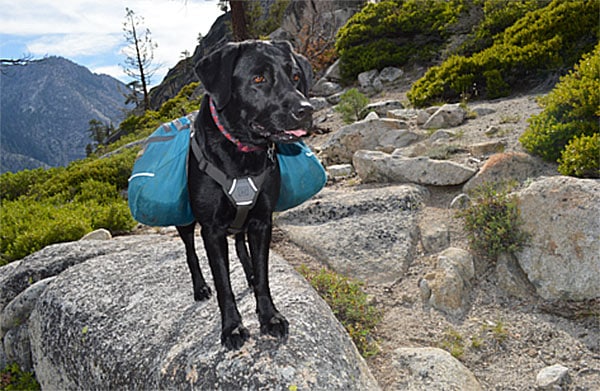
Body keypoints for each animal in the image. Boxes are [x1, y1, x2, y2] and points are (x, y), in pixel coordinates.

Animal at [175, 41, 312, 350]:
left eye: (296, 76)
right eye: (258, 79)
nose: (306, 109)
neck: (242, 152)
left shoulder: (262, 221)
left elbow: (263, 274)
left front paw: (269, 316)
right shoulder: (212, 230)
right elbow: (223, 284)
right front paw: (232, 327)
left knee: (240, 245)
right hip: (186, 222)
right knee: (190, 252)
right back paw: (200, 286)